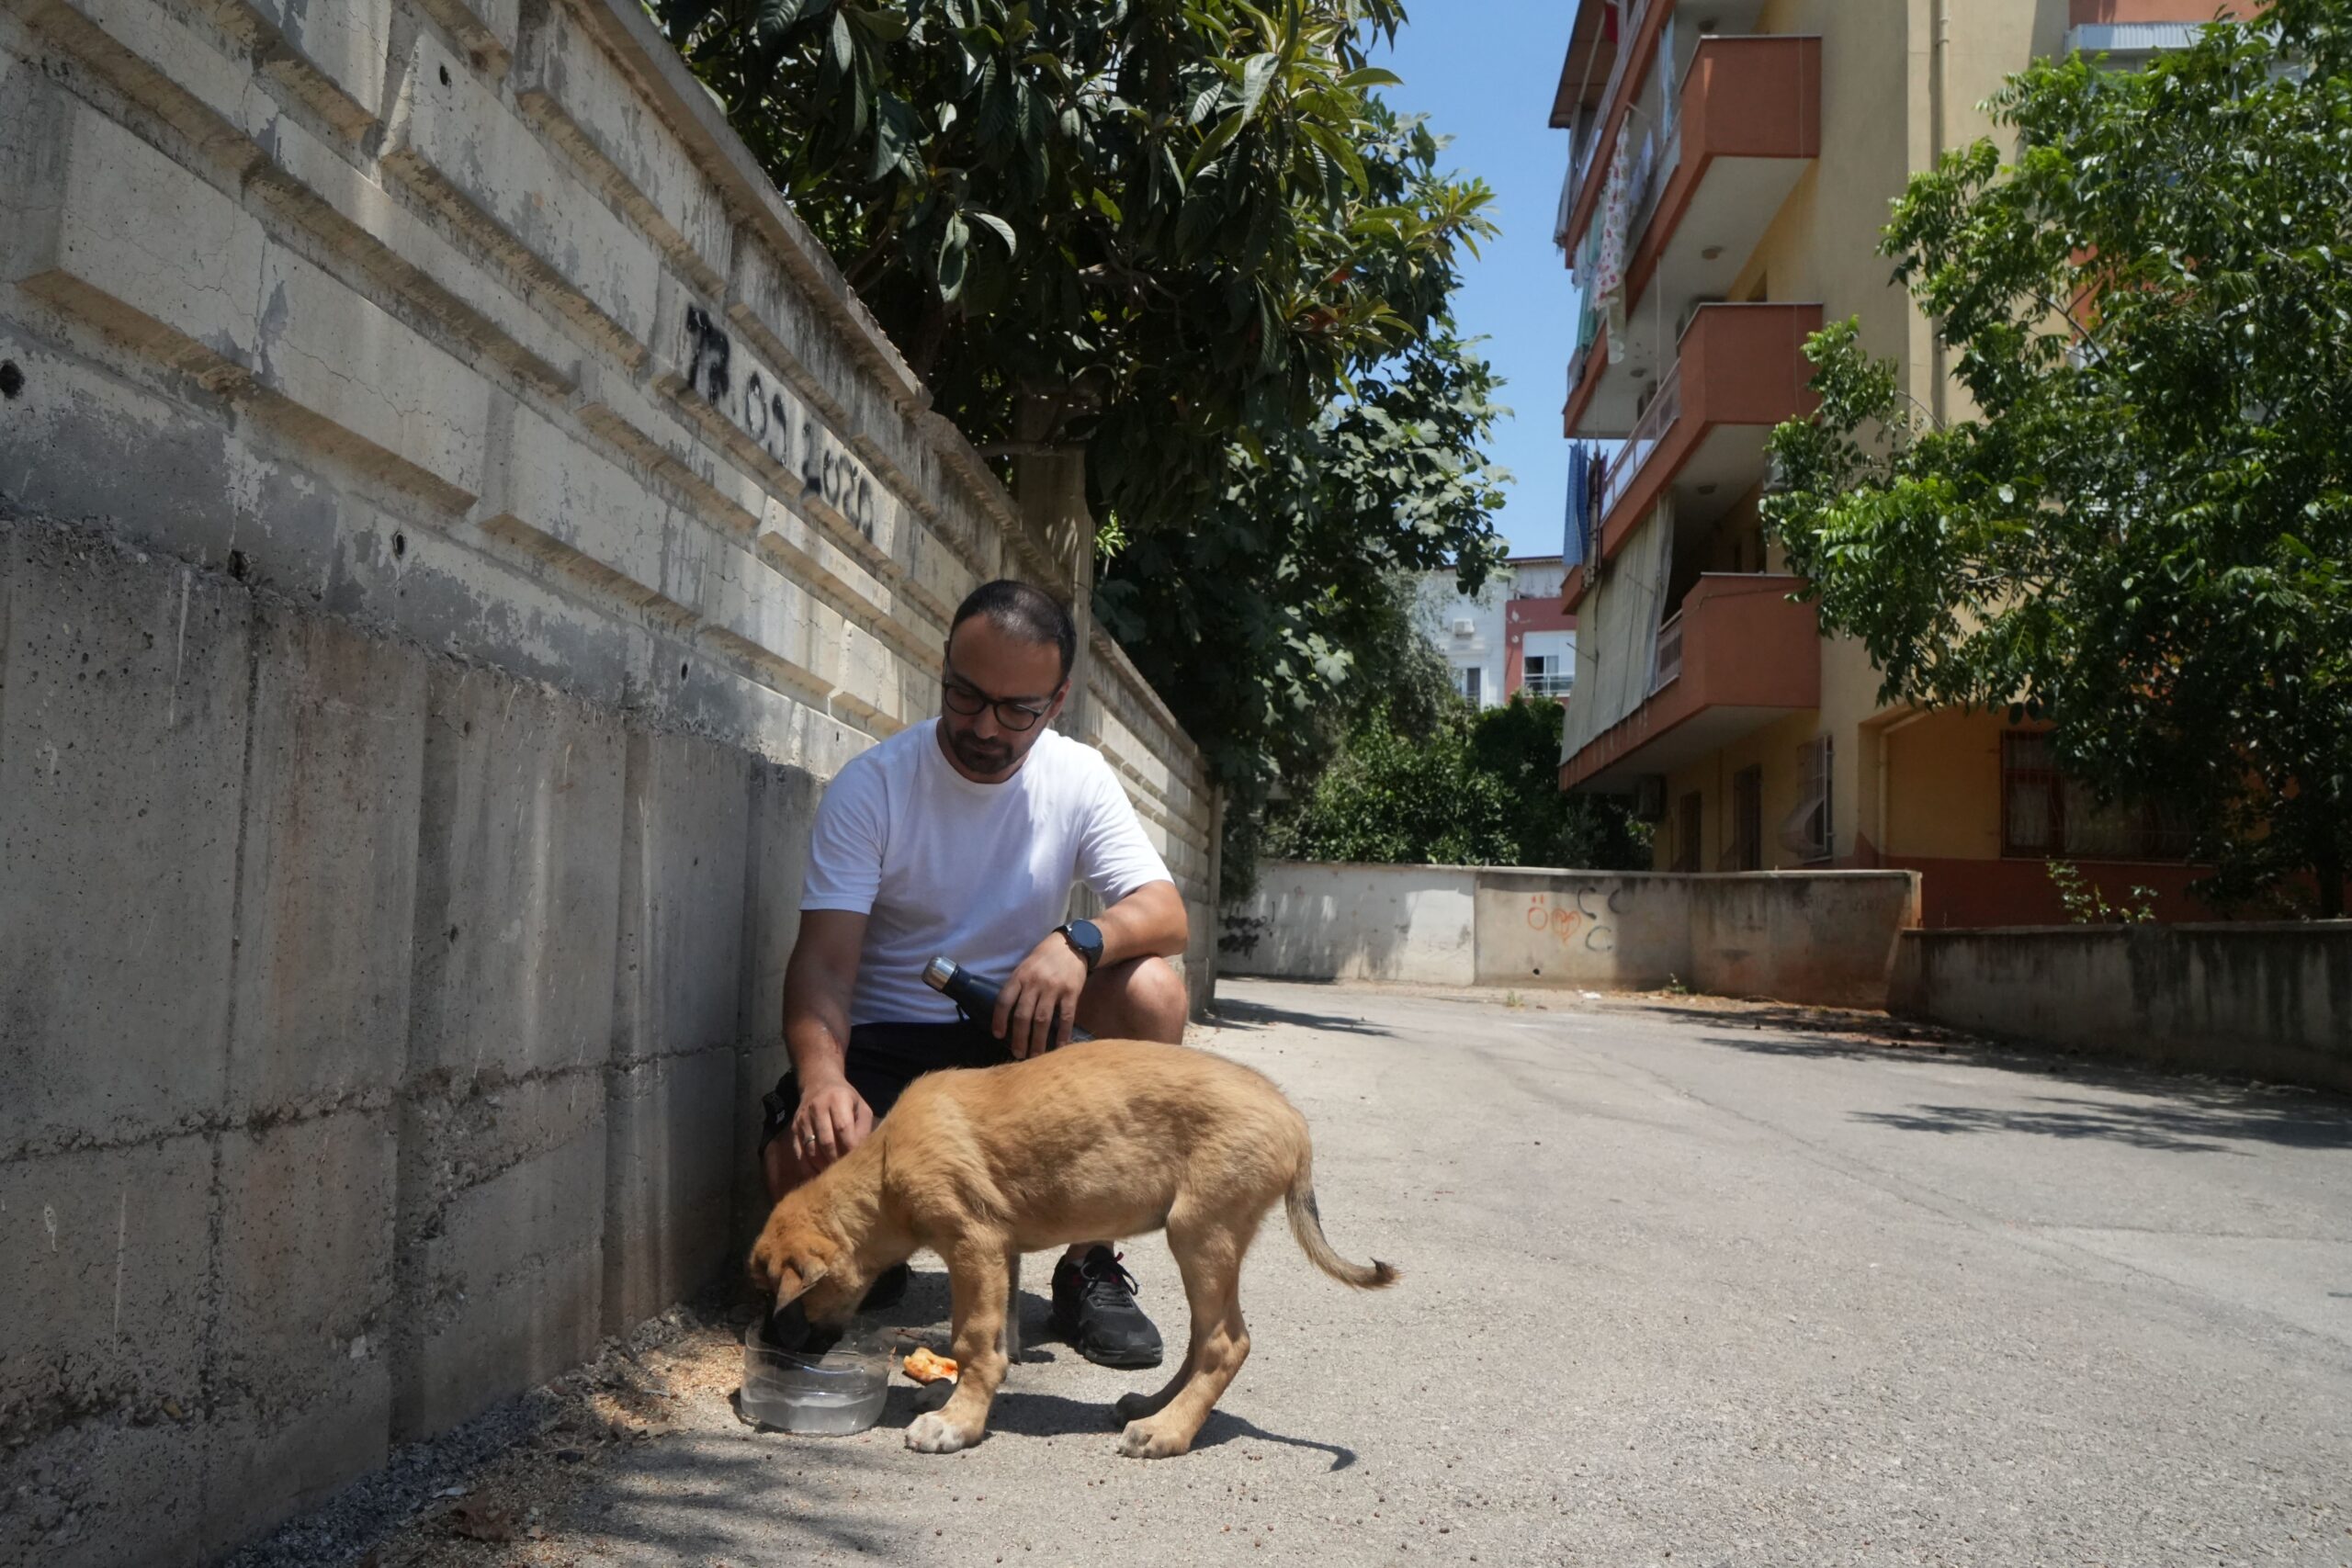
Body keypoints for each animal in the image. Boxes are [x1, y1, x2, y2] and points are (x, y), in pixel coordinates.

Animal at [742, 1043, 1383, 1457]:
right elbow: (996, 1338)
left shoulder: (972, 1244)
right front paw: (964, 1400)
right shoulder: (998, 1253)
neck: (881, 1172)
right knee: (1204, 1339)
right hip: (1205, 1243)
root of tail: (1294, 1122)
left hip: (1201, 1232)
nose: (772, 1345)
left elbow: (972, 1340)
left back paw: (1168, 1432)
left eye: (779, 1293)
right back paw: (1153, 1407)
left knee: (1227, 1342)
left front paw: (957, 1423)